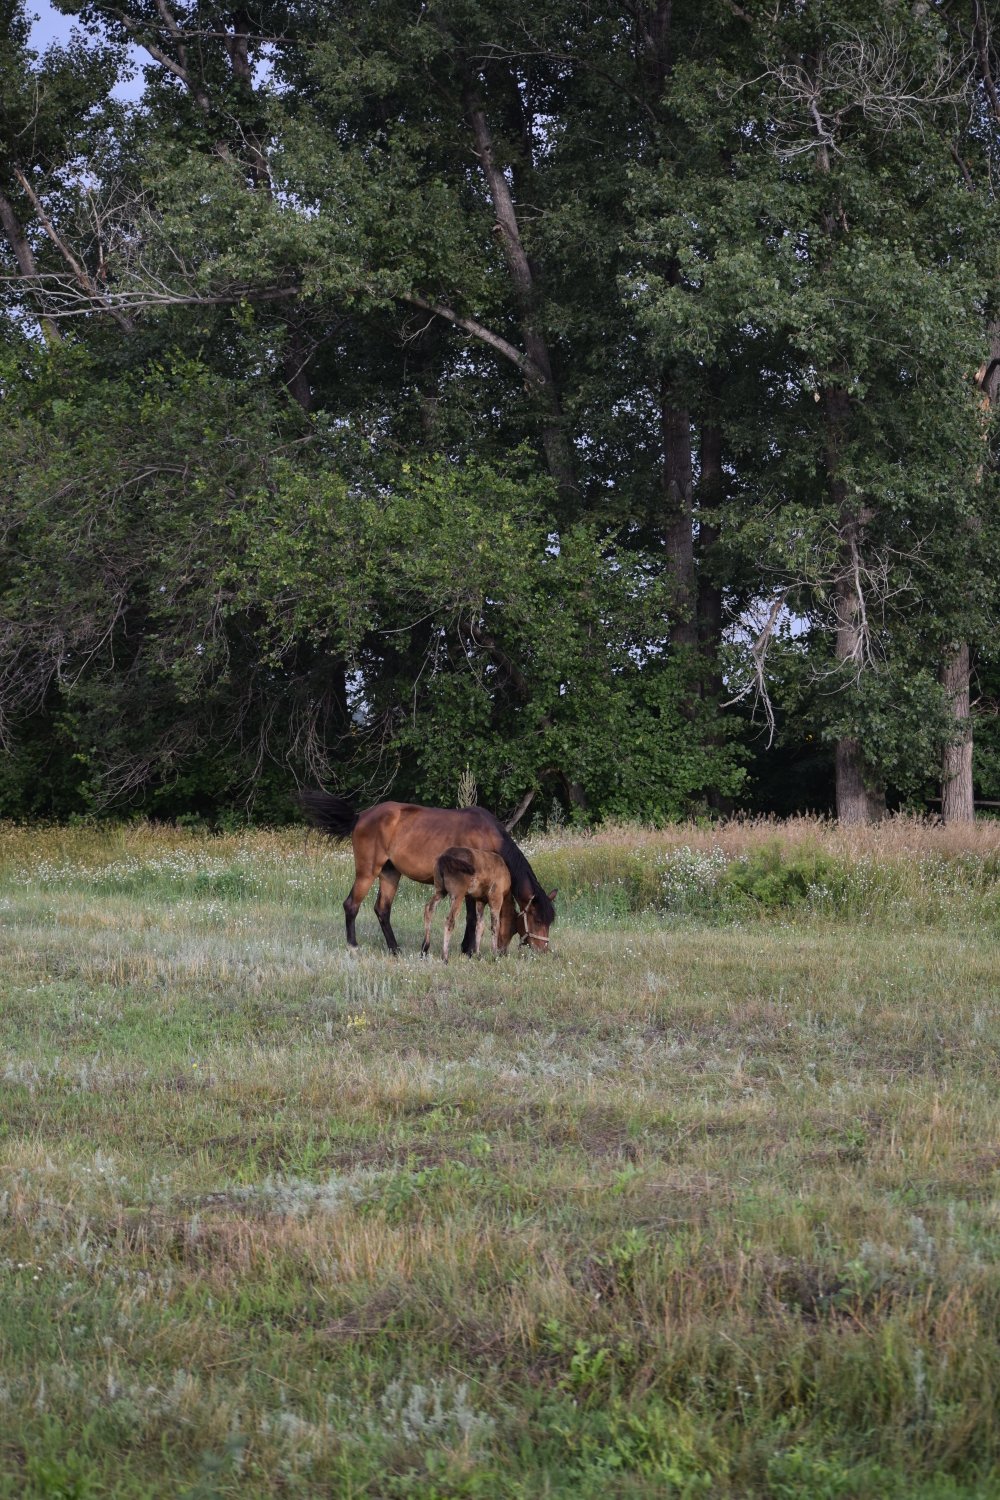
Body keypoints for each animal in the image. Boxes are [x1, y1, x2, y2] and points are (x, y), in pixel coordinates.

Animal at [299, 791, 556, 955]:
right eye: (537, 919)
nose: (543, 950)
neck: (487, 837)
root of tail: (359, 817)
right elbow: (471, 918)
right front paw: (468, 950)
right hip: (367, 872)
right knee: (351, 905)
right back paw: (353, 946)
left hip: (390, 874)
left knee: (382, 910)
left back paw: (395, 949)